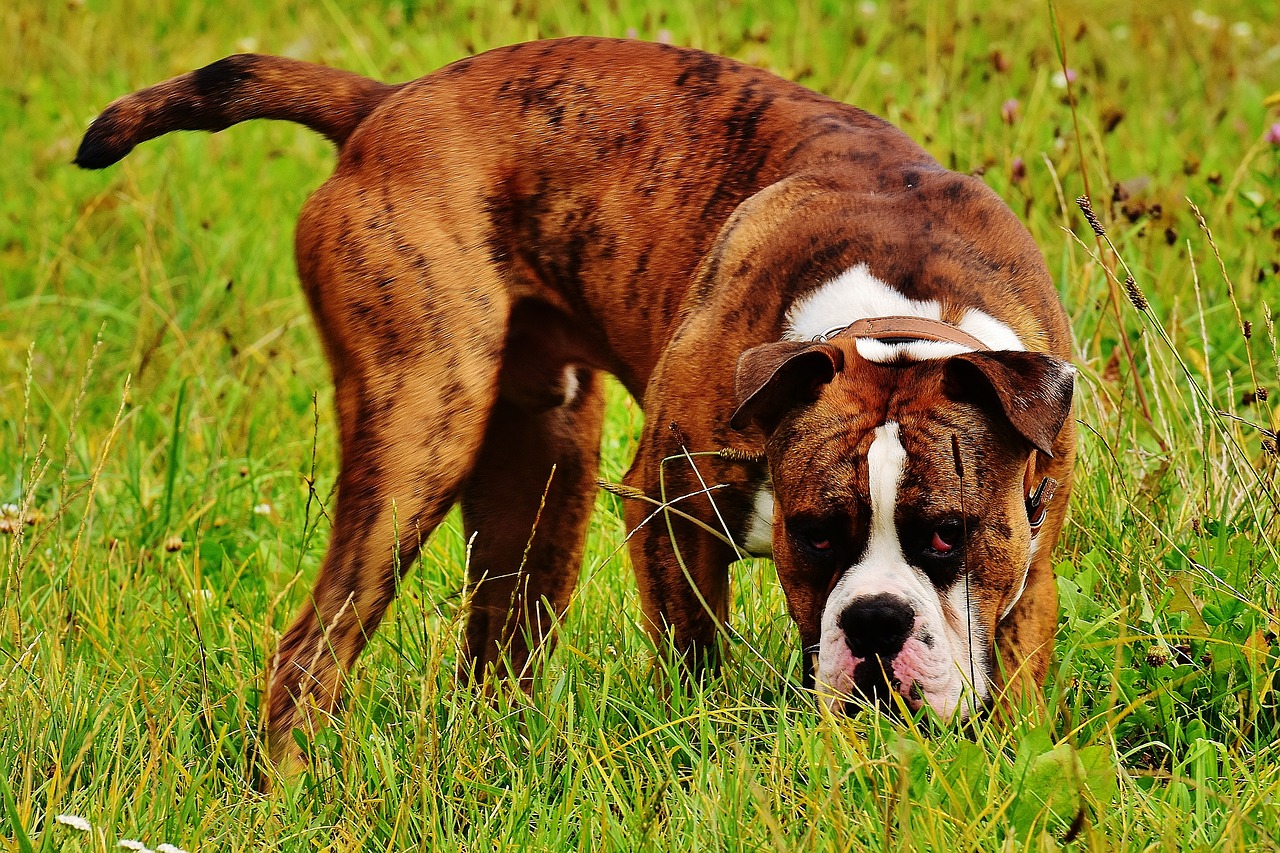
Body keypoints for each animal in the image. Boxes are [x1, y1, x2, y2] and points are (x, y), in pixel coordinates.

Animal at [74, 38, 1070, 768]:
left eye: (948, 534)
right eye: (815, 534)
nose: (873, 622)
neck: (894, 318)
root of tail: (387, 102)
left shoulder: (1032, 565)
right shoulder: (670, 509)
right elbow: (693, 659)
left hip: (539, 478)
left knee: (494, 649)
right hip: (418, 439)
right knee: (310, 652)